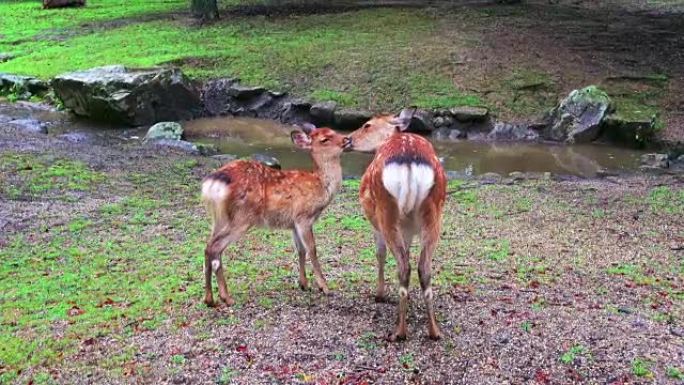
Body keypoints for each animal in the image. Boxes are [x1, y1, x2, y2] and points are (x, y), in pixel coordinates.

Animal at [200, 125, 344, 306]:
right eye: (325, 139)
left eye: (335, 131)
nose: (347, 139)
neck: (320, 186)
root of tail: (213, 184)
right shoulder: (303, 217)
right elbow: (312, 249)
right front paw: (324, 287)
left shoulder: (293, 223)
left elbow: (300, 250)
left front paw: (304, 284)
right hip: (241, 218)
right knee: (214, 247)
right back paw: (224, 298)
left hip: (219, 218)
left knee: (210, 248)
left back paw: (211, 298)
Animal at [344, 109, 446, 340]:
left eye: (367, 125)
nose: (347, 140)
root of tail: (408, 162)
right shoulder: (407, 229)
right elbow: (407, 252)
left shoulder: (376, 225)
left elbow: (379, 253)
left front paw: (379, 294)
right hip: (433, 212)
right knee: (422, 267)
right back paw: (434, 330)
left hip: (386, 210)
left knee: (403, 266)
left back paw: (399, 332)